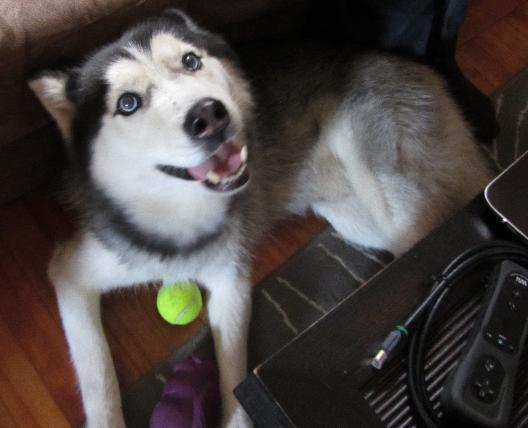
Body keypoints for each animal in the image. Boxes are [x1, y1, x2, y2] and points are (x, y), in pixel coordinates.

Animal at [29, 9, 492, 428]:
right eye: (127, 103)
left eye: (190, 61)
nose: (208, 115)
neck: (179, 211)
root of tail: (413, 62)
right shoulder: (71, 273)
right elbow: (99, 381)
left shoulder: (230, 281)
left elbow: (234, 376)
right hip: (352, 215)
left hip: (393, 206)